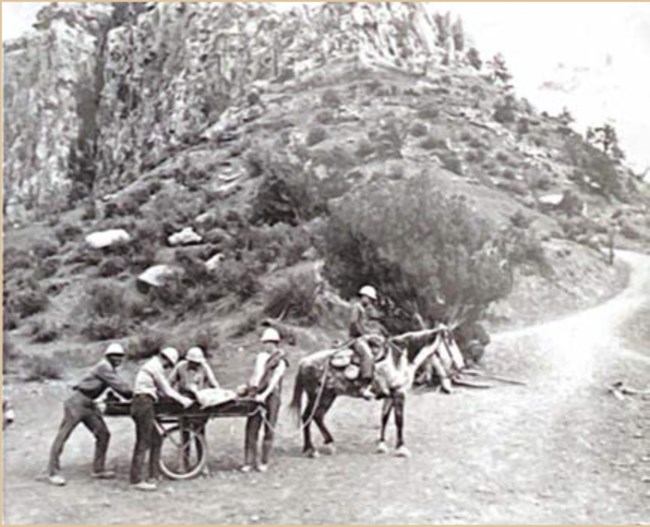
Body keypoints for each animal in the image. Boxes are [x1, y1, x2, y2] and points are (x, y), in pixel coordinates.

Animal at [288, 330, 450, 458]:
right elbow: (399, 421)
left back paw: (327, 445)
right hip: (317, 395)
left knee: (317, 416)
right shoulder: (399, 393)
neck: (399, 359)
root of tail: (304, 362)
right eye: (448, 344)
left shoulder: (390, 395)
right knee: (308, 416)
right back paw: (311, 450)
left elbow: (384, 418)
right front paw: (401, 449)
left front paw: (382, 446)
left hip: (327, 396)